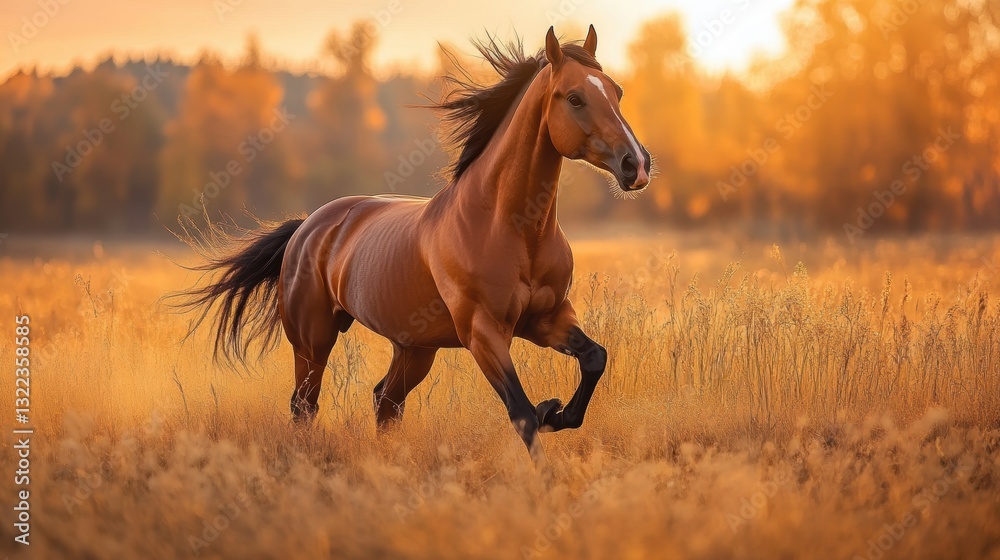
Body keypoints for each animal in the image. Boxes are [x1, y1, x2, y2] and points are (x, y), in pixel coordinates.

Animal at [175, 25, 651, 461]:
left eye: (618, 91)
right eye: (574, 98)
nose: (637, 164)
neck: (511, 228)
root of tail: (306, 227)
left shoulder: (548, 319)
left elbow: (594, 359)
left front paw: (556, 411)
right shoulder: (484, 333)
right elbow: (521, 414)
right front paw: (545, 454)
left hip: (414, 349)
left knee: (385, 401)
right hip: (313, 342)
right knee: (305, 406)